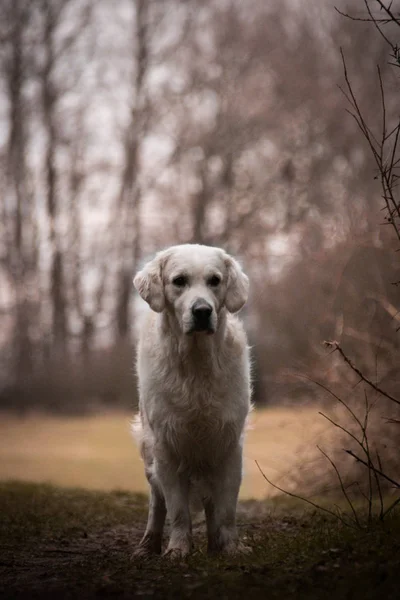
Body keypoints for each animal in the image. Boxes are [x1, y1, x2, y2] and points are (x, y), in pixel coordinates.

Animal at [133, 244, 252, 556]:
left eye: (215, 280)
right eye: (179, 281)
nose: (202, 311)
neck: (196, 362)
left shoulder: (228, 445)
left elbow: (226, 511)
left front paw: (230, 547)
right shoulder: (166, 447)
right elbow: (177, 510)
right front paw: (178, 548)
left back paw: (213, 546)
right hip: (150, 455)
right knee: (157, 502)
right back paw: (148, 545)